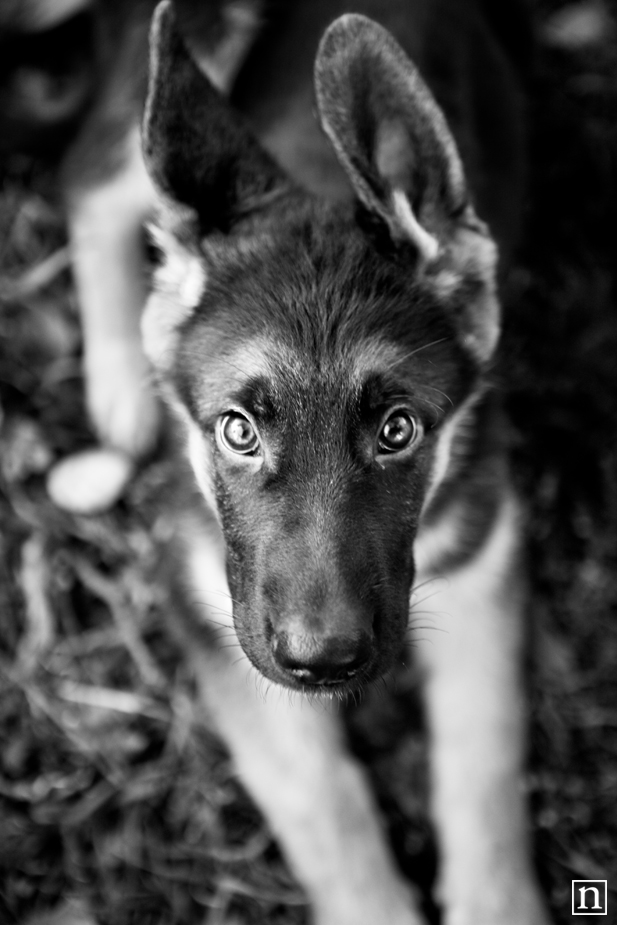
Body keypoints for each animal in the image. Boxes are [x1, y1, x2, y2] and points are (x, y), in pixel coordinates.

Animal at [138, 1, 548, 924]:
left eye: (398, 430)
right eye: (237, 432)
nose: (321, 663)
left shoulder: (485, 553)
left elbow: (484, 755)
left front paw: (495, 900)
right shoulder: (205, 598)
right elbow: (319, 792)